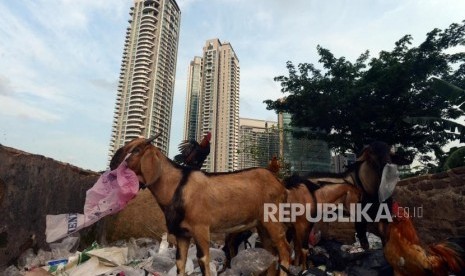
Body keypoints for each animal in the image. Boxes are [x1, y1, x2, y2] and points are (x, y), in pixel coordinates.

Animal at [110, 137, 288, 276]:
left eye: (136, 150)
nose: (112, 164)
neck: (177, 186)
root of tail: (278, 182)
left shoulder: (201, 229)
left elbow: (203, 261)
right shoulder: (182, 234)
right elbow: (180, 262)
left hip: (273, 221)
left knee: (284, 251)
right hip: (261, 225)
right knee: (271, 253)